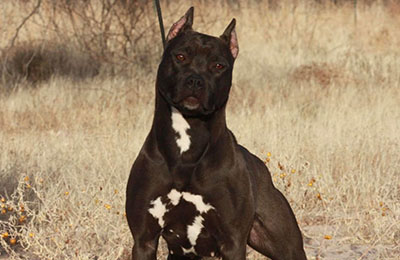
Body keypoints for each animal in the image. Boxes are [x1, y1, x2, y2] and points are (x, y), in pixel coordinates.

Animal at [126, 7, 308, 258]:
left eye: (219, 66)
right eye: (180, 57)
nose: (195, 80)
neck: (187, 149)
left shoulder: (232, 241)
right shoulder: (144, 239)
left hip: (285, 245)